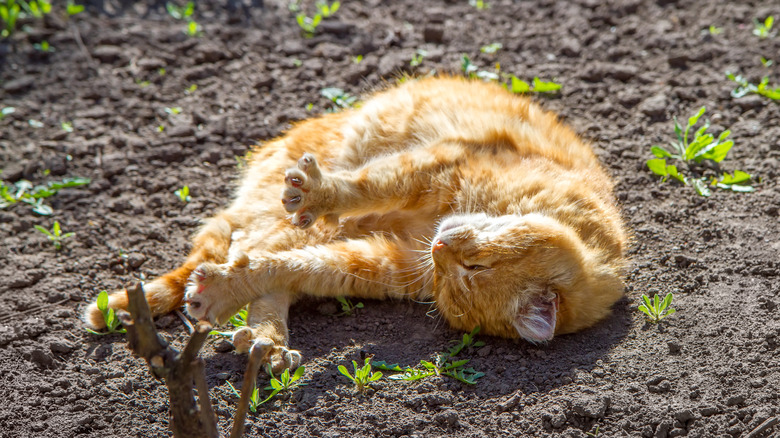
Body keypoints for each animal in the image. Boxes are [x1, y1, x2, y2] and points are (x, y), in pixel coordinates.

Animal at [84, 77, 628, 372]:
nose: (441, 250)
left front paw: (224, 295)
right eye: (475, 266)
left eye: (459, 280)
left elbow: (291, 268)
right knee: (247, 240)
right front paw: (322, 192)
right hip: (296, 205)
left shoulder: (380, 263)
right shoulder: (432, 166)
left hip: (322, 233)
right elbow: (363, 186)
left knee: (260, 259)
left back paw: (264, 340)